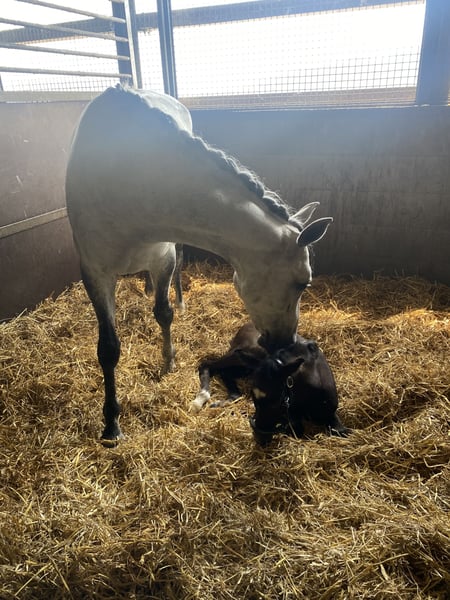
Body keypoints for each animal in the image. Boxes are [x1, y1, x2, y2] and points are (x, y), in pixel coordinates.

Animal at [65, 85, 333, 445]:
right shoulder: (95, 271)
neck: (133, 179)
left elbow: (163, 312)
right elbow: (108, 349)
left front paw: (169, 361)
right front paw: (111, 424)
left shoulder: (162, 256)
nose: (287, 342)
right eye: (303, 282)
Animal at [192, 322, 349, 445]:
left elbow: (340, 431)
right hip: (243, 353)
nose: (259, 437)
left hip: (245, 365)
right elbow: (297, 430)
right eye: (253, 397)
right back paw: (200, 400)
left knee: (225, 373)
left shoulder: (330, 413)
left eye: (277, 401)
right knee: (208, 365)